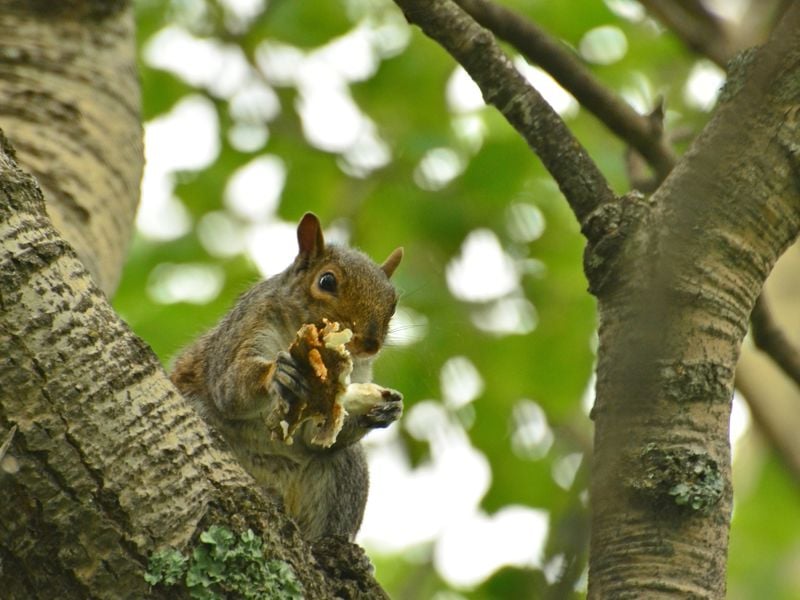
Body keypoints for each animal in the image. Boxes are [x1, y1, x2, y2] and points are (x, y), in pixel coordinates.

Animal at [172, 213, 404, 540]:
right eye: (327, 281)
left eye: (393, 304)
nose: (371, 343)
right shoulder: (247, 327)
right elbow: (229, 388)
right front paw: (275, 374)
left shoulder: (357, 372)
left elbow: (316, 435)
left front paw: (386, 409)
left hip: (346, 474)